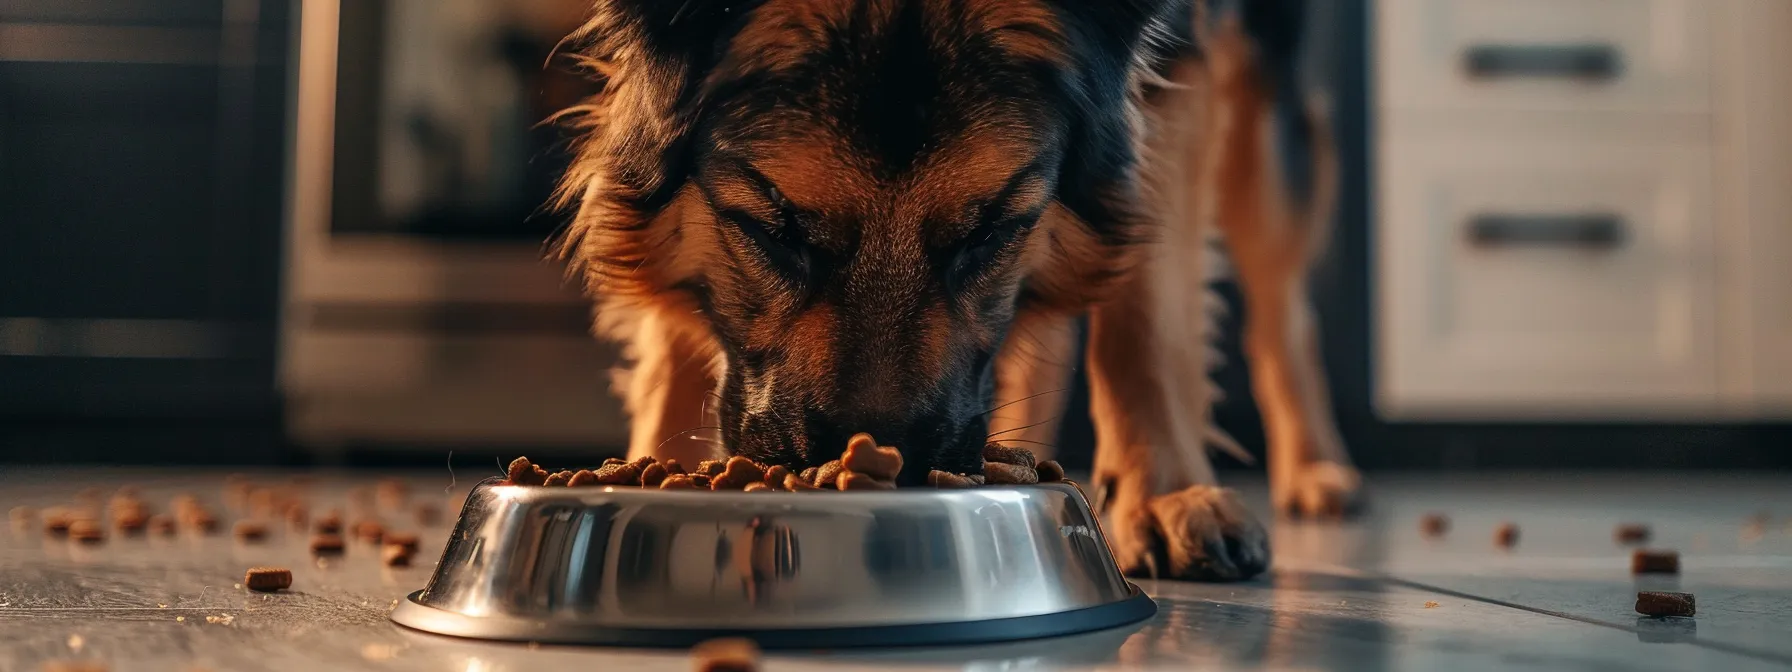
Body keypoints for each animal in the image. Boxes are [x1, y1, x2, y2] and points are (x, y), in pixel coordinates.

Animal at [548, 0, 1354, 584]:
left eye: (989, 232)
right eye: (775, 230)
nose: (886, 468)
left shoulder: (1173, 59)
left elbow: (1148, 317)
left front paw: (1164, 494)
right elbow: (673, 320)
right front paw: (647, 464)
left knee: (1284, 313)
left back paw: (1316, 466)